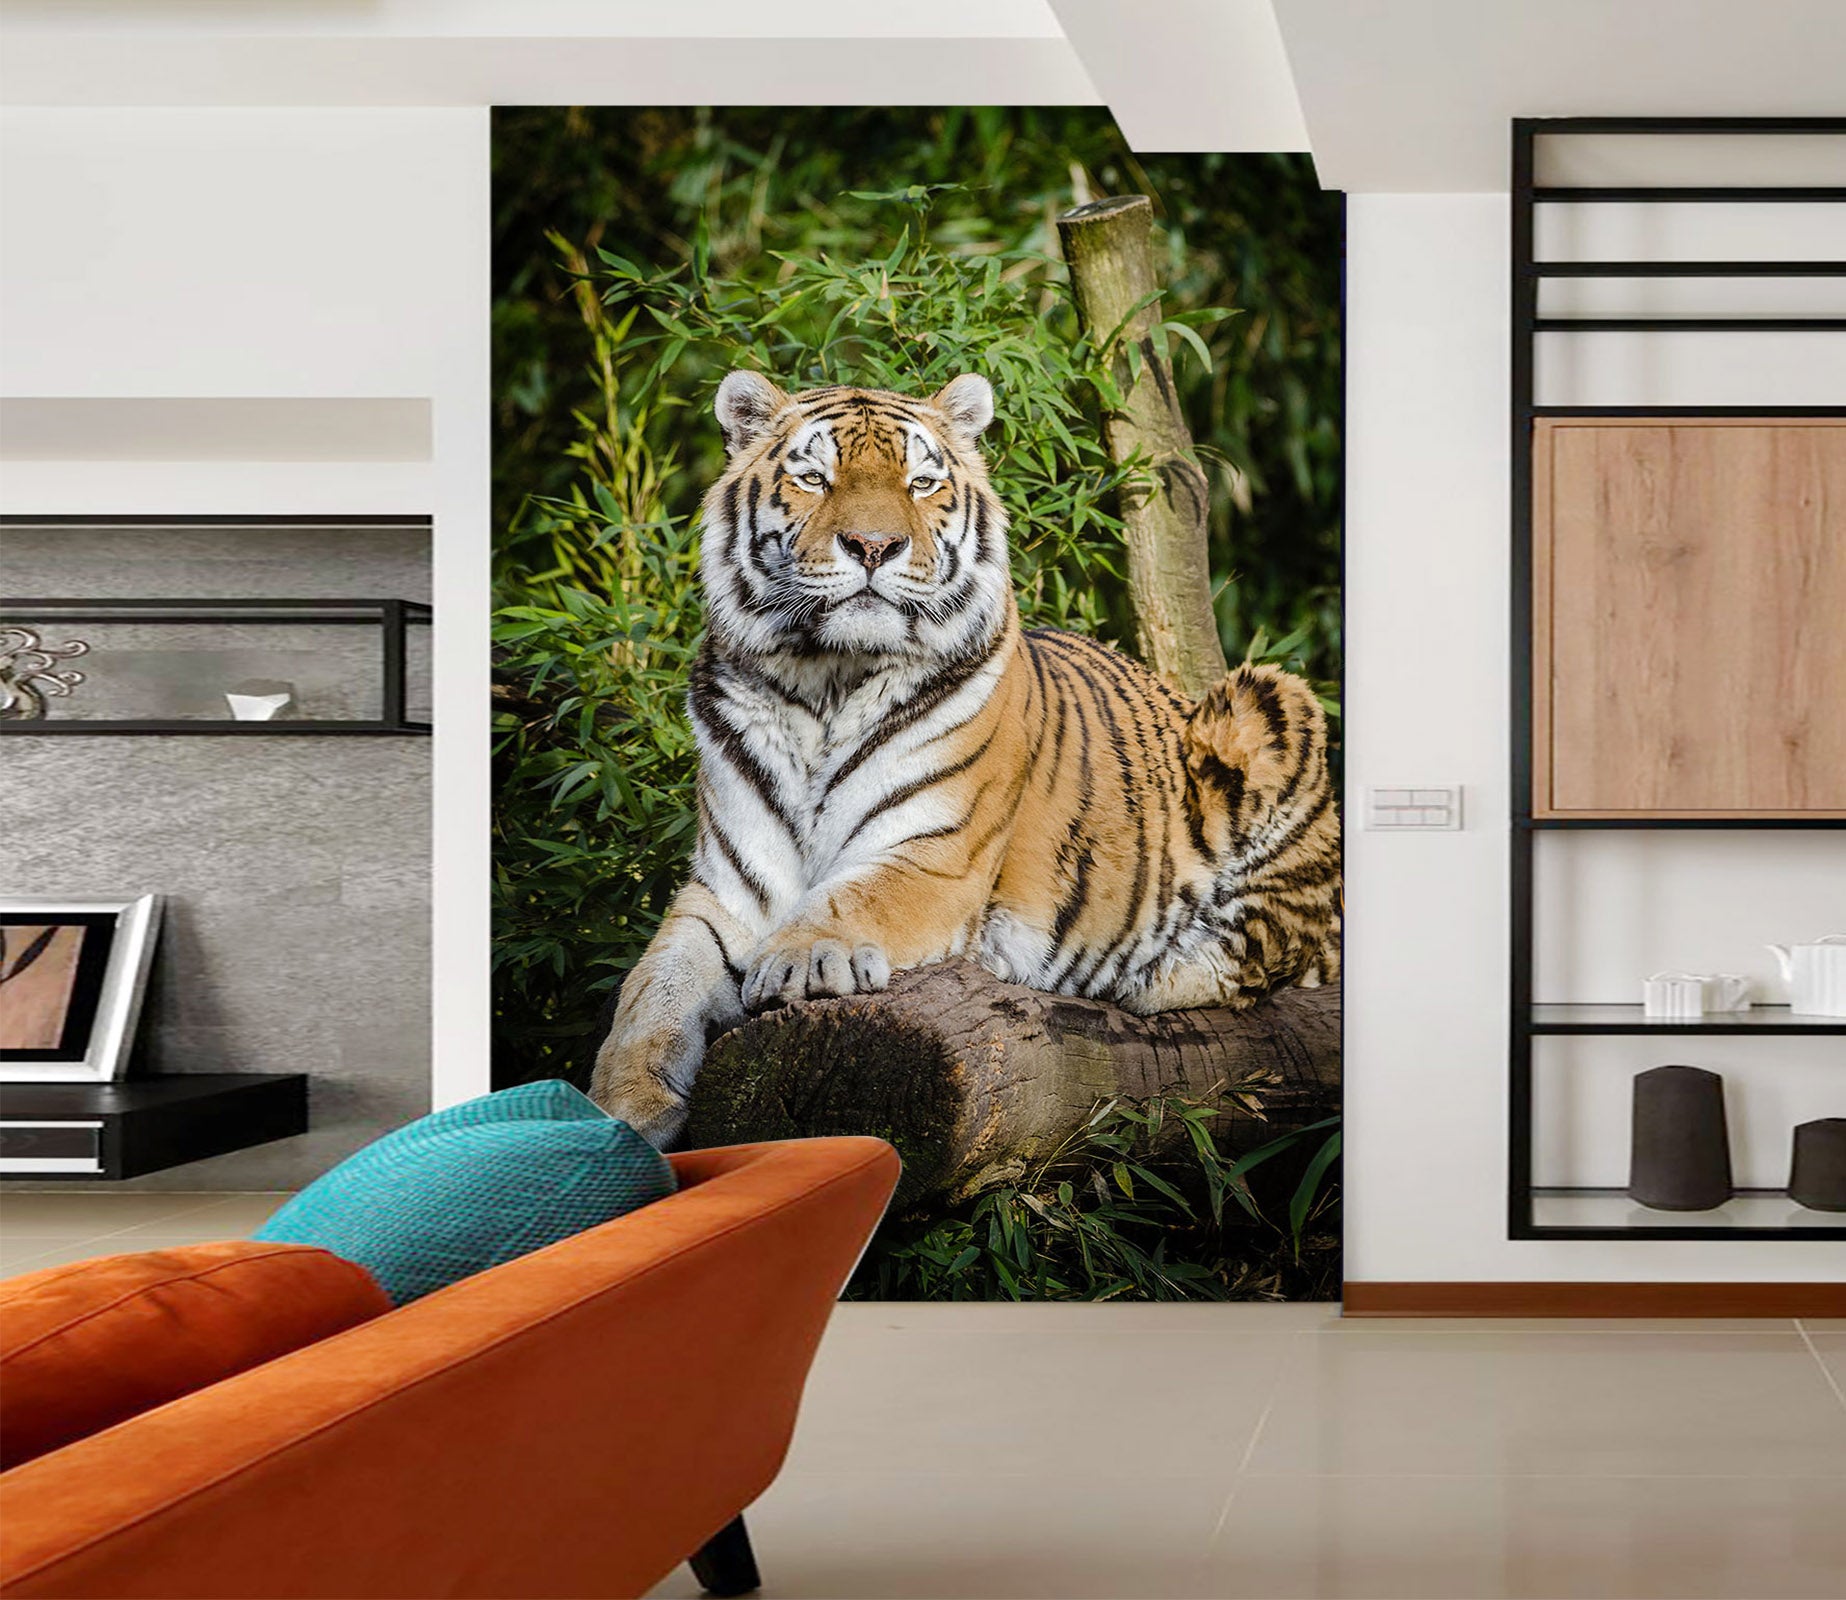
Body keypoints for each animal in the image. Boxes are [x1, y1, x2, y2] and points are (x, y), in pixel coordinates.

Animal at [591, 369, 1340, 1146]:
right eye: (813, 477)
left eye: (921, 483)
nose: (872, 545)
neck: (826, 682)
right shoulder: (728, 891)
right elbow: (650, 990)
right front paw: (621, 1108)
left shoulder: (934, 856)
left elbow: (853, 895)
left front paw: (800, 959)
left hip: (1270, 703)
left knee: (1269, 951)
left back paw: (1147, 977)